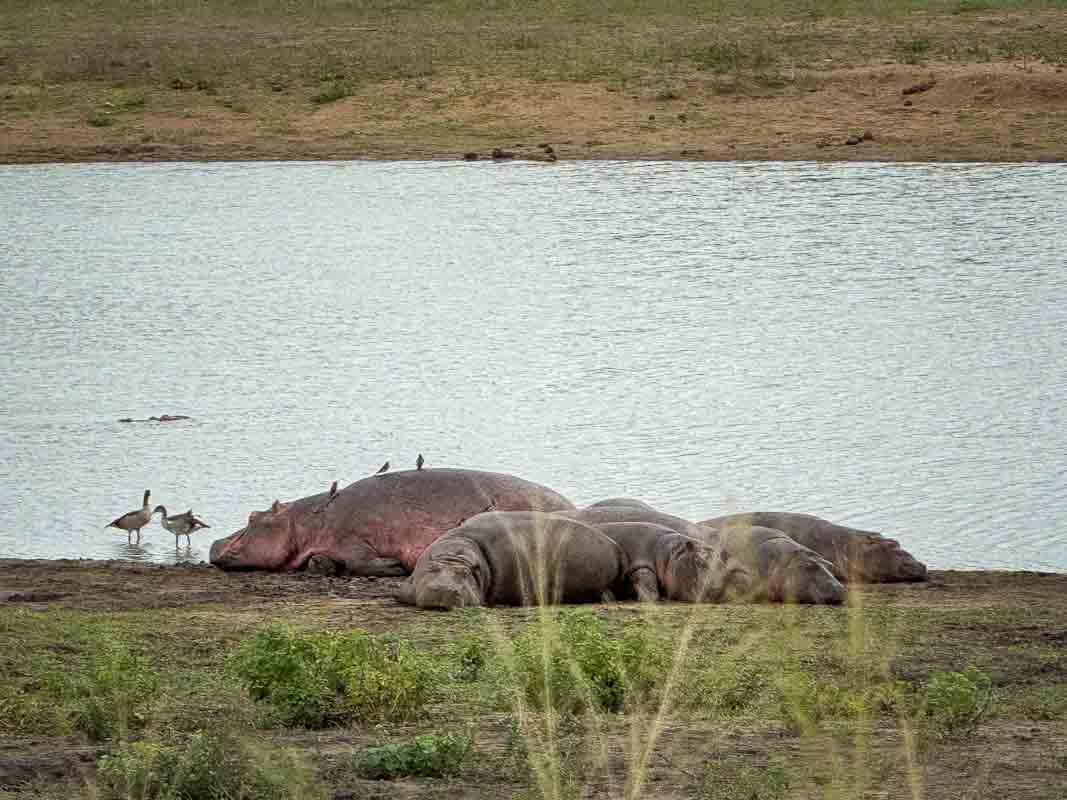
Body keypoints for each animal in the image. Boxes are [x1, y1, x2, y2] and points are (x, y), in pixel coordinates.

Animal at [209, 469, 576, 576]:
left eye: (252, 516)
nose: (213, 543)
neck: (306, 520)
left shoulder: (353, 537)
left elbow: (360, 559)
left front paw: (395, 567)